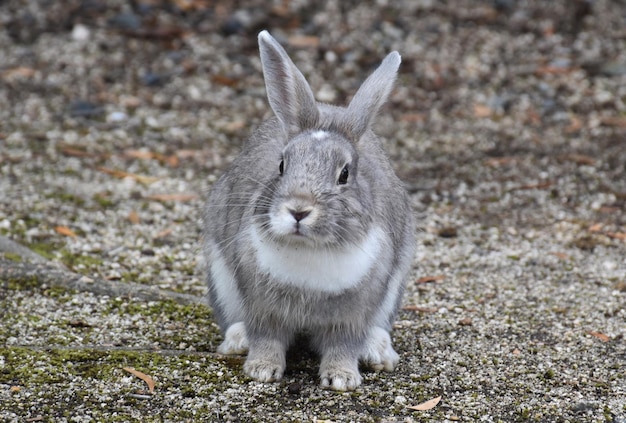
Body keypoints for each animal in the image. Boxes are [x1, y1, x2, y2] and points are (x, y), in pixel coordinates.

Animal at [201, 29, 414, 392]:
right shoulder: (262, 308)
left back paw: (378, 353)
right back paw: (237, 341)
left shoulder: (353, 315)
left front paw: (342, 379)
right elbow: (267, 338)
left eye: (344, 174)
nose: (298, 211)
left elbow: (343, 345)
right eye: (282, 165)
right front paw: (261, 370)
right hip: (221, 280)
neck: (310, 249)